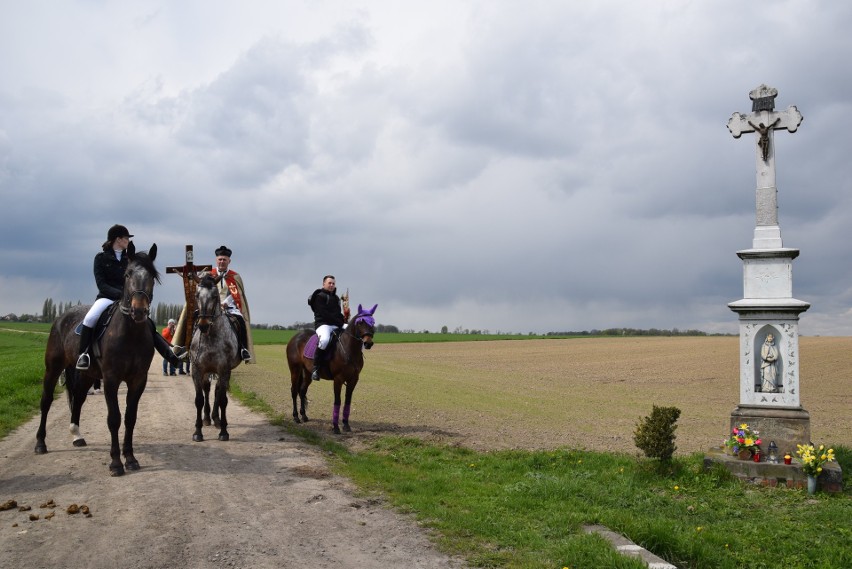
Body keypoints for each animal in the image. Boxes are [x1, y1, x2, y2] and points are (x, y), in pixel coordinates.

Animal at [185, 272, 241, 442]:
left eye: (215, 296)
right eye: (197, 295)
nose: (203, 325)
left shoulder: (224, 370)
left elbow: (222, 399)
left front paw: (223, 431)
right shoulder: (197, 370)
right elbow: (199, 400)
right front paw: (198, 431)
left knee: (216, 391)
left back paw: (216, 419)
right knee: (207, 389)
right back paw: (207, 418)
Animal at [286, 304, 376, 432]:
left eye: (373, 322)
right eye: (360, 322)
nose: (368, 343)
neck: (348, 349)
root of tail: (296, 337)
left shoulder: (353, 380)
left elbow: (348, 400)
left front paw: (346, 425)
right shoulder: (338, 379)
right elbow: (337, 401)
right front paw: (336, 427)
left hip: (307, 372)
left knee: (302, 390)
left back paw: (304, 415)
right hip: (295, 370)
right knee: (294, 391)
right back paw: (296, 417)